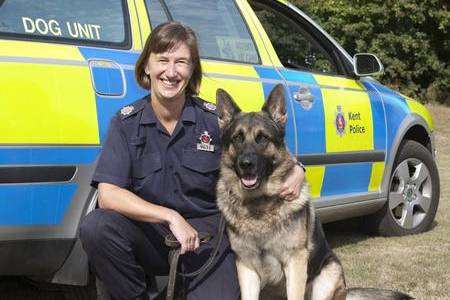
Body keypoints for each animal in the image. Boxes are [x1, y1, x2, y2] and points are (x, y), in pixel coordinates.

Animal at [214, 84, 412, 300]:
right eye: (237, 138)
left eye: (262, 138)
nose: (246, 164)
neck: (259, 204)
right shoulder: (247, 268)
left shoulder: (295, 262)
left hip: (328, 275)